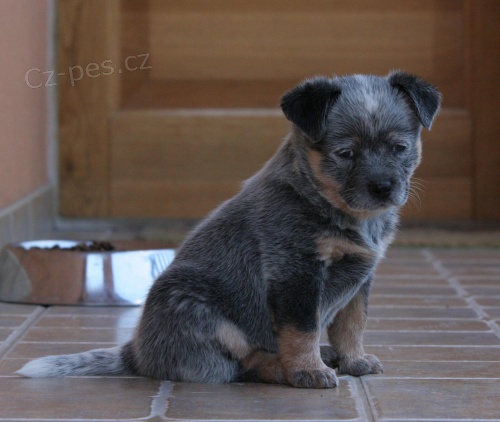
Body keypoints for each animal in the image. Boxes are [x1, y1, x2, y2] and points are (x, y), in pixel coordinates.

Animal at [18, 71, 441, 388]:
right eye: (346, 153)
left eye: (400, 147)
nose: (383, 187)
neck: (335, 209)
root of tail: (138, 352)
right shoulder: (296, 272)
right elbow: (302, 329)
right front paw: (308, 370)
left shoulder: (361, 273)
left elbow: (352, 323)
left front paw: (353, 360)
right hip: (201, 308)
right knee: (239, 365)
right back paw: (286, 368)